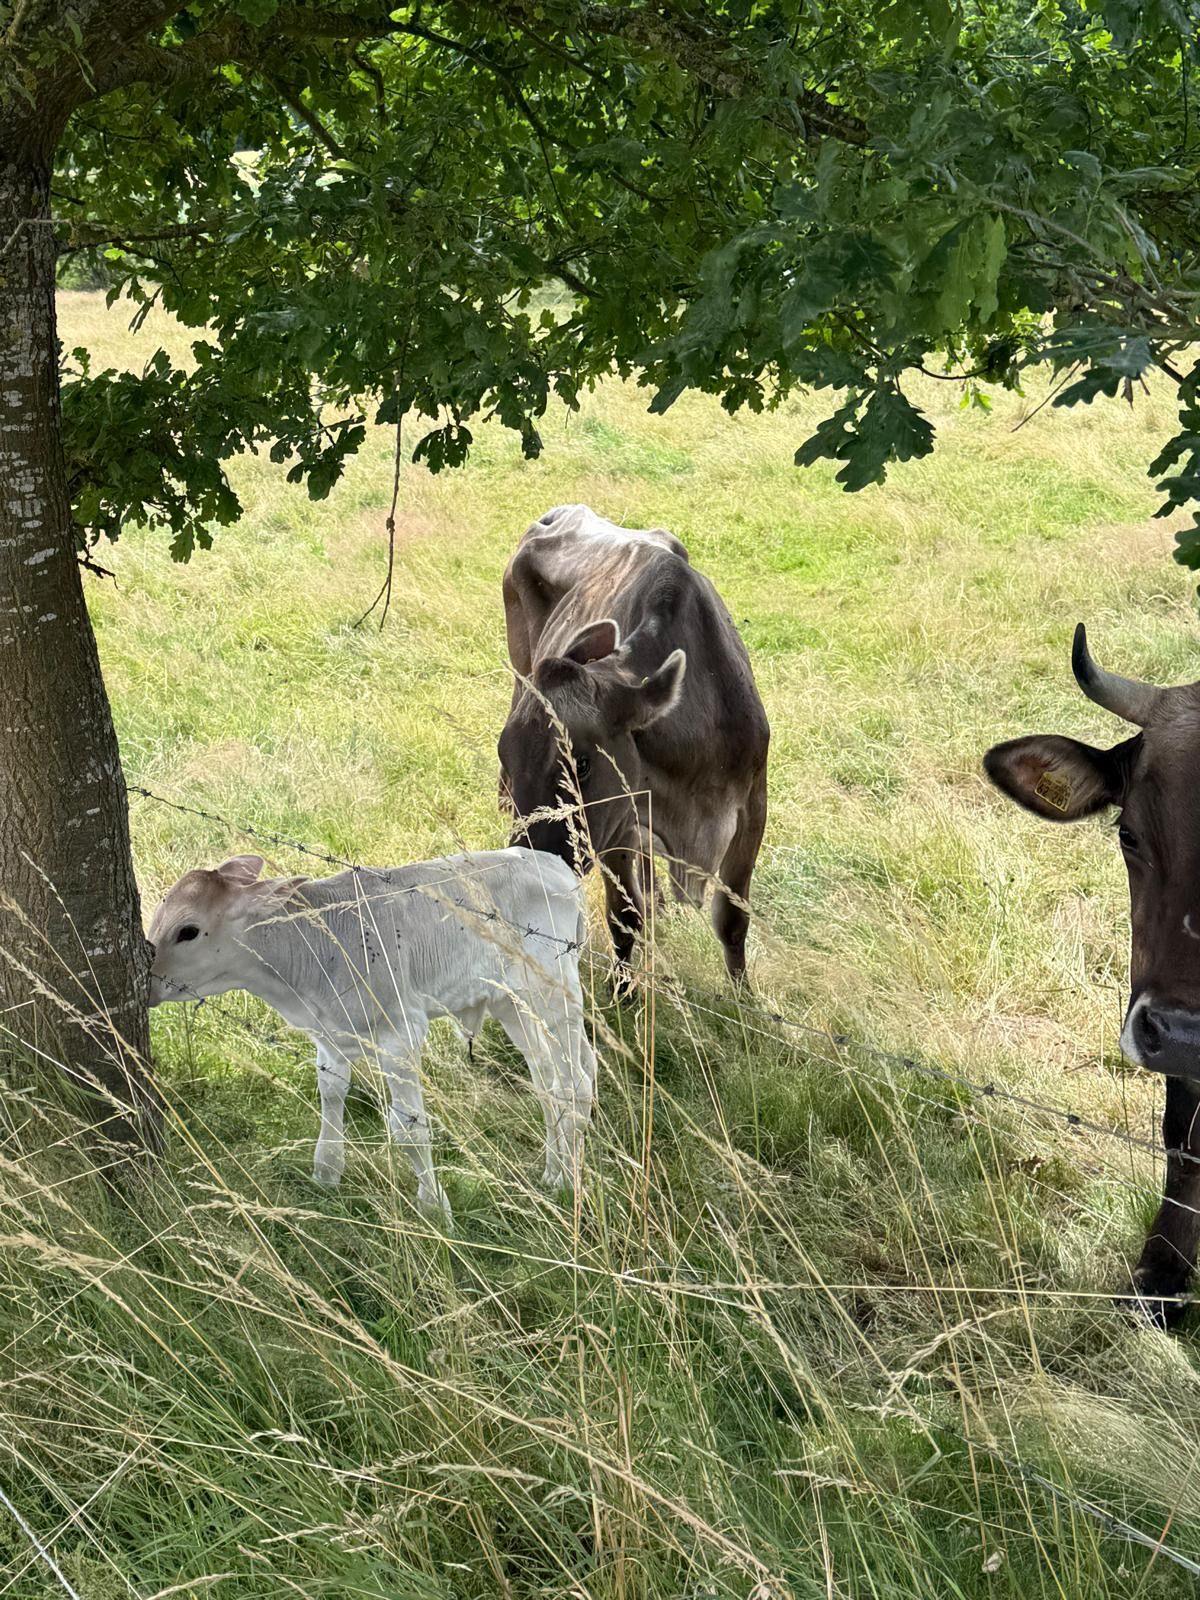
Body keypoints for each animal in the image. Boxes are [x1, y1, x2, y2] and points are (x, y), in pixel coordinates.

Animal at [147, 848, 595, 1221]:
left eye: (187, 931)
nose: (147, 982)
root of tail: (551, 862)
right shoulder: (329, 1037)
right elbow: (331, 1098)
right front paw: (326, 1172)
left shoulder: (402, 1031)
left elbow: (410, 1129)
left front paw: (434, 1207)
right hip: (510, 1003)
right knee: (548, 1079)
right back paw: (554, 1170)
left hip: (555, 993)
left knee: (575, 1083)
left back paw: (569, 1178)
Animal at [497, 504, 769, 989]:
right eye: (504, 758)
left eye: (581, 764)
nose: (527, 875)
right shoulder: (619, 825)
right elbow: (624, 915)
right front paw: (624, 990)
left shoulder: (754, 805)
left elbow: (733, 920)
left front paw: (743, 997)